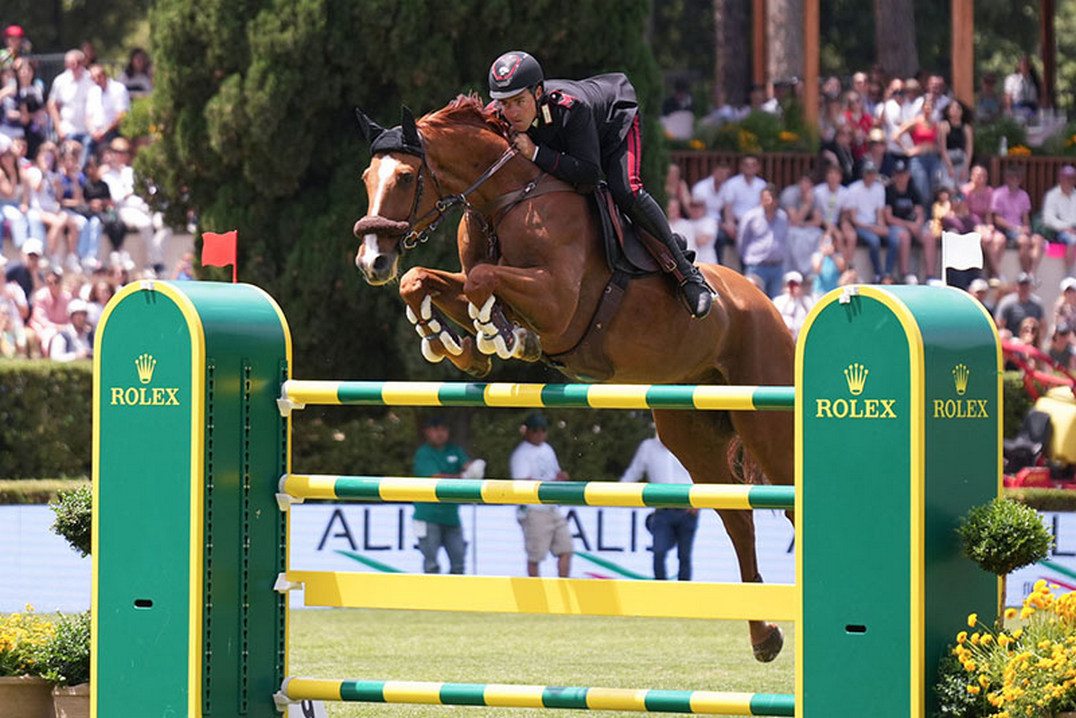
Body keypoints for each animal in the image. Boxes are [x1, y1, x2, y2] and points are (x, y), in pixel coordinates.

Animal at [350, 96, 791, 663]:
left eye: (405, 176)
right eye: (367, 177)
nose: (371, 260)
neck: (503, 200)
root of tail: (765, 302)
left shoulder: (557, 303)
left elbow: (483, 282)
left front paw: (503, 335)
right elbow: (424, 280)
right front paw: (459, 345)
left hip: (768, 425)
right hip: (689, 431)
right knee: (737, 518)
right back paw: (764, 636)